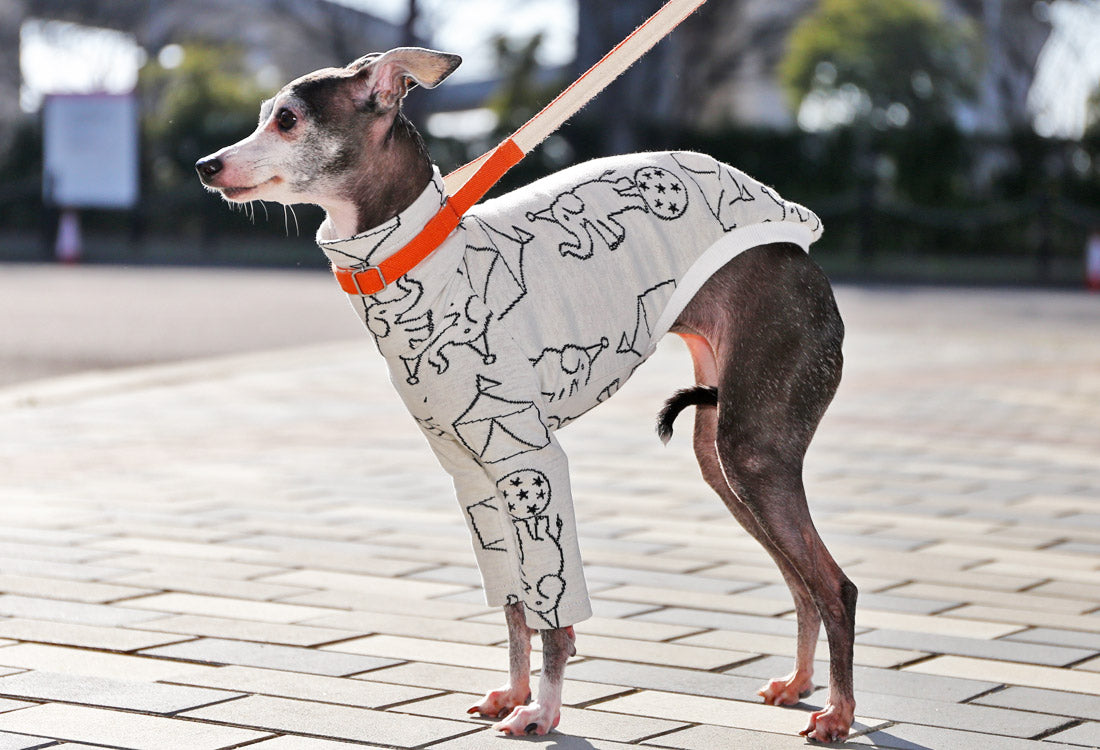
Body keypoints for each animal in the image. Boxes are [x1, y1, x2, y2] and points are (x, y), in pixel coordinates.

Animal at [195, 48, 849, 743]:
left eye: (288, 119)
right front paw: (513, 693)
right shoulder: (476, 479)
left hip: (752, 450)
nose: (205, 166)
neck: (416, 257)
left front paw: (544, 711)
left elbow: (552, 613)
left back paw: (838, 713)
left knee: (835, 586)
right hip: (722, 460)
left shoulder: (530, 460)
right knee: (801, 582)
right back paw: (800, 684)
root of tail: (798, 242)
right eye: (263, 115)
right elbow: (514, 607)